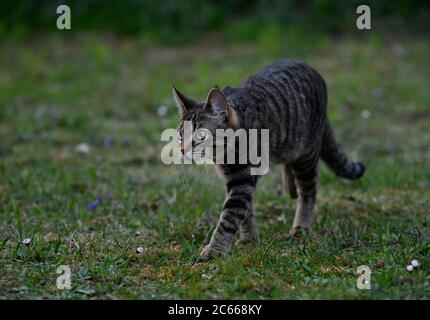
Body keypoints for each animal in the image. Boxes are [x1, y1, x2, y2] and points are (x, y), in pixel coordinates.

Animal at [173, 60, 364, 260]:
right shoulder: (233, 179)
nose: (182, 150)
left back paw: (301, 226)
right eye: (180, 135)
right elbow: (246, 214)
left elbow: (229, 218)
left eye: (200, 136)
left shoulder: (242, 179)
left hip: (307, 155)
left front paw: (215, 250)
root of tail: (309, 67)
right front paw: (249, 238)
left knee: (308, 193)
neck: (226, 154)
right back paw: (290, 186)